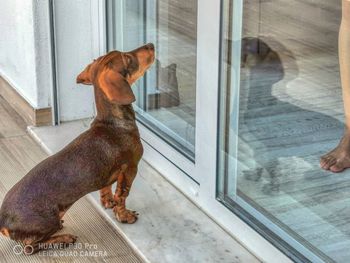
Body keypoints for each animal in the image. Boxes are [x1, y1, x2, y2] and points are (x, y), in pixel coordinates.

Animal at [0, 42, 154, 254]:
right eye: (128, 58)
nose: (151, 45)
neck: (112, 123)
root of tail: (3, 222)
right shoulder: (130, 169)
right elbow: (123, 195)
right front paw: (124, 216)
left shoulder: (107, 174)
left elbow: (107, 188)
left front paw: (108, 202)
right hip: (48, 221)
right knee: (31, 247)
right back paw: (63, 238)